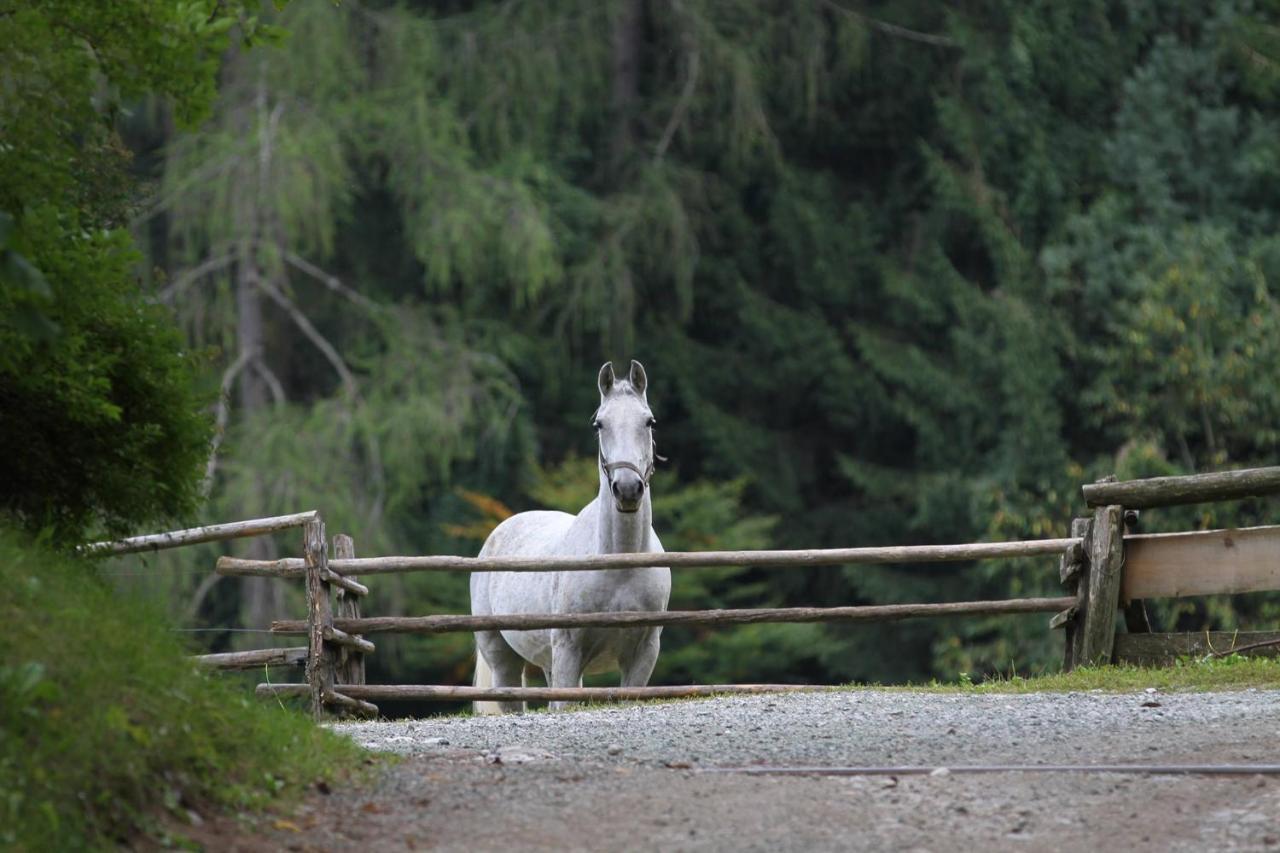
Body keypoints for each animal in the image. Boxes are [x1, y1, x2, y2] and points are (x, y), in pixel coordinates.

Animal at [468, 358, 670, 712]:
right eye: (599, 424)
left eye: (649, 422)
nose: (627, 490)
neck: (620, 563)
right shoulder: (568, 652)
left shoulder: (643, 652)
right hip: (503, 658)